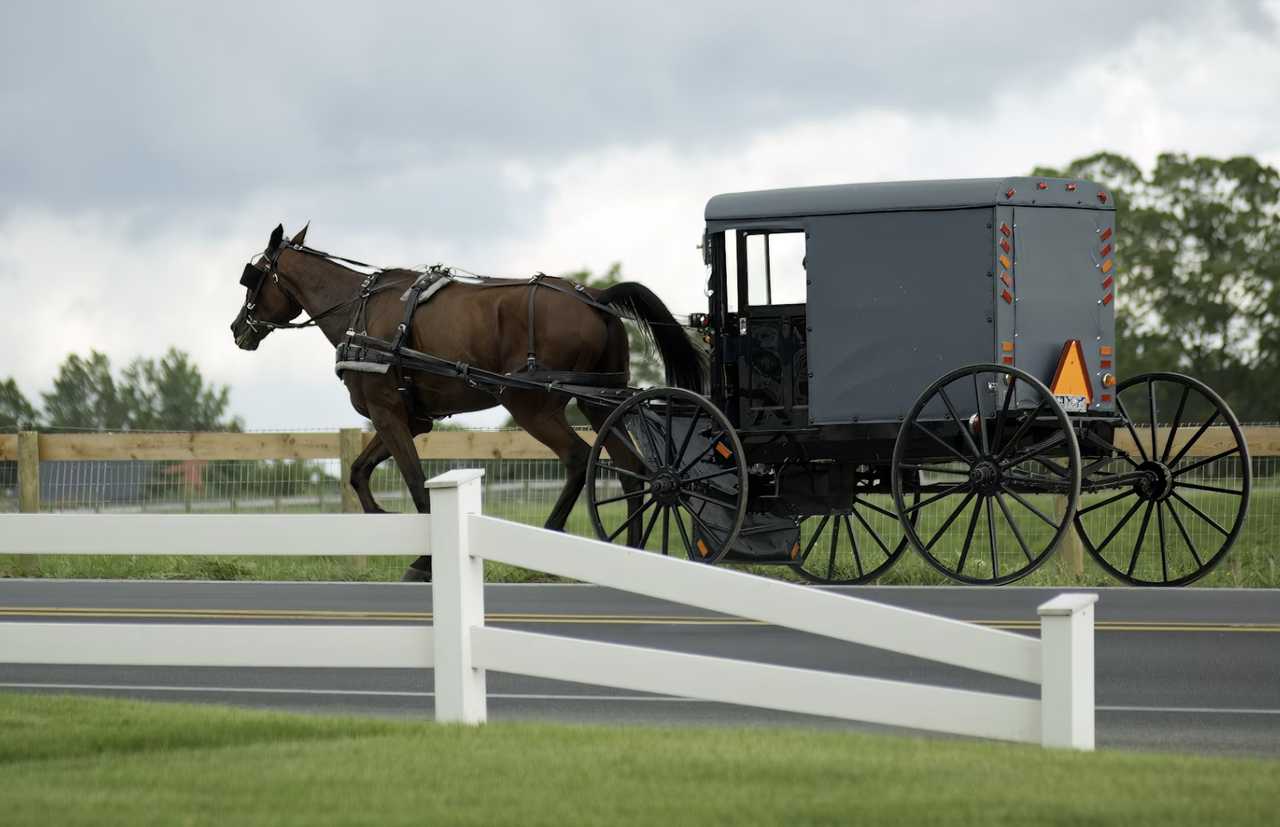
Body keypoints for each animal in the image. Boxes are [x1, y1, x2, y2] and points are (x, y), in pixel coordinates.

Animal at [229, 224, 706, 581]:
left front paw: (424, 560)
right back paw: (632, 550)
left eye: (253, 276)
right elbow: (359, 472)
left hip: (532, 405)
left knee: (576, 458)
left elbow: (415, 483)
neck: (359, 313)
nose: (238, 328)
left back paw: (550, 539)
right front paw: (382, 516)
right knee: (631, 469)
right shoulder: (410, 418)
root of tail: (597, 297)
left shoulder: (388, 413)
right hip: (600, 401)